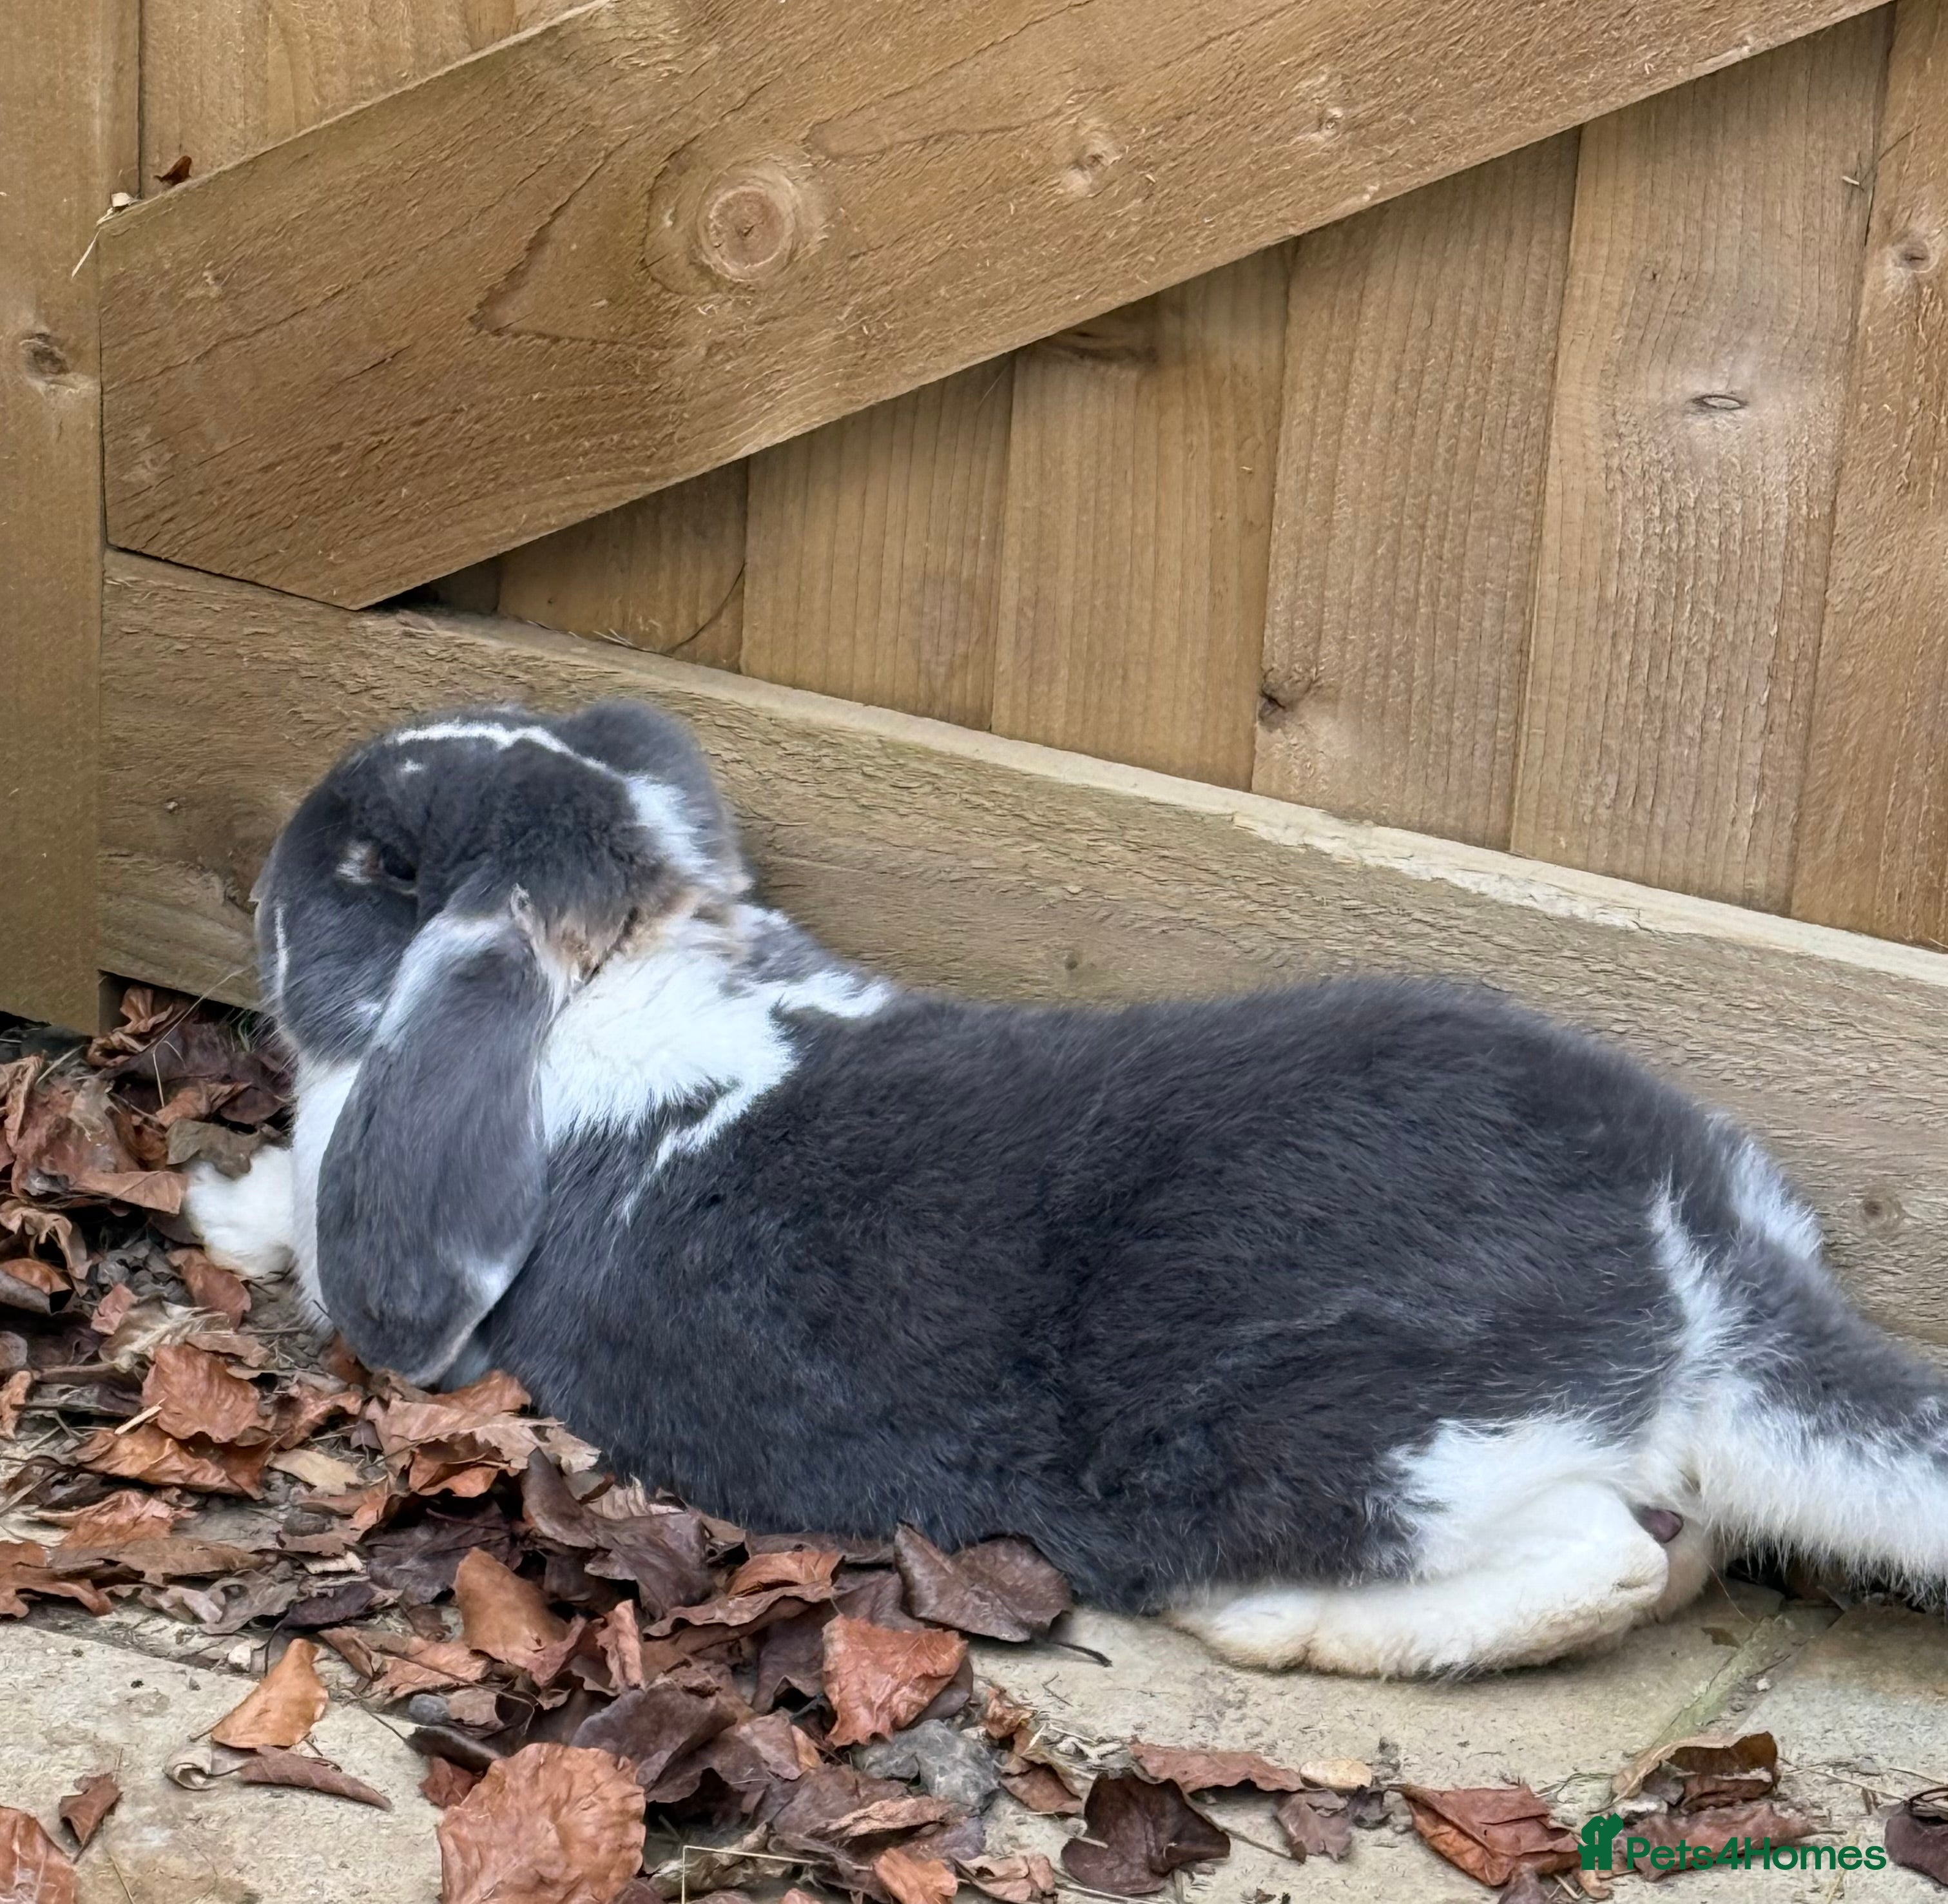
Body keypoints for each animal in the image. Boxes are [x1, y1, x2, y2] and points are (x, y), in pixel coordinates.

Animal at [184, 698, 1948, 1678]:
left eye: (373, 872)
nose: (259, 878)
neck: (622, 983)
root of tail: (1693, 1260)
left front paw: (227, 1202)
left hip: (1349, 1446)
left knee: (1607, 1559)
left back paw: (1268, 1623)